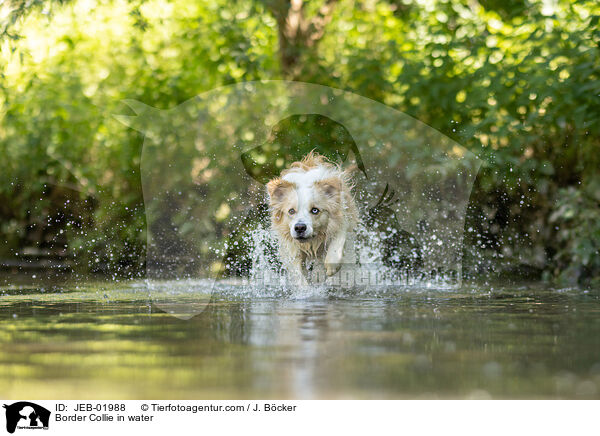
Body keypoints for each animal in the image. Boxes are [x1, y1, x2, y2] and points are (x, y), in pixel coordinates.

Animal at [266, 152, 356, 284]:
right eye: (291, 211)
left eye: (315, 210)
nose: (299, 228)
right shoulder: (291, 247)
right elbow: (299, 275)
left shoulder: (342, 221)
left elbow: (337, 242)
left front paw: (331, 267)